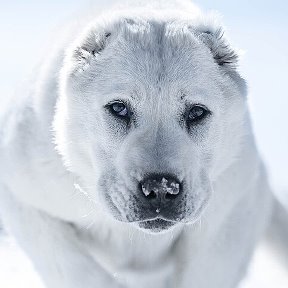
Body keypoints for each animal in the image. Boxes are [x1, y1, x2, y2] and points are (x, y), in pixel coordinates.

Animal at [0, 0, 286, 288]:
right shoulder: (22, 195)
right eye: (118, 108)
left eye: (197, 112)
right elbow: (73, 266)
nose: (161, 188)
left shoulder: (232, 212)